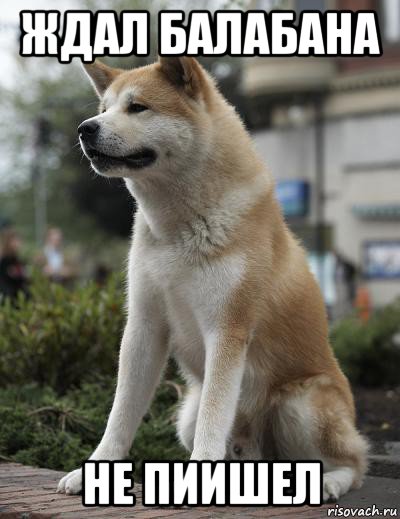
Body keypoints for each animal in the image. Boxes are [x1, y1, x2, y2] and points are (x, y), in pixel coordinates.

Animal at [57, 54, 368, 502]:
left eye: (138, 107)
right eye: (104, 109)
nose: (85, 128)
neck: (179, 227)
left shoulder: (227, 329)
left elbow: (214, 416)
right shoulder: (144, 326)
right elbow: (121, 413)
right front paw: (93, 473)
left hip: (301, 405)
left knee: (353, 463)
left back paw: (329, 482)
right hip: (186, 414)